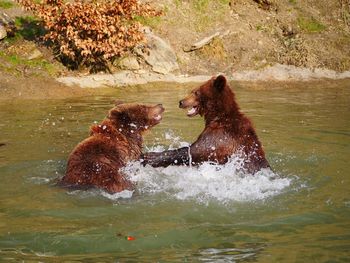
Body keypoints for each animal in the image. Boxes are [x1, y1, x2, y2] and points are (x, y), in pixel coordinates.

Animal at [142, 75, 270, 174]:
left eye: (196, 92)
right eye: (193, 91)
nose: (181, 102)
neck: (217, 116)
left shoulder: (221, 137)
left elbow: (195, 150)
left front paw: (150, 156)